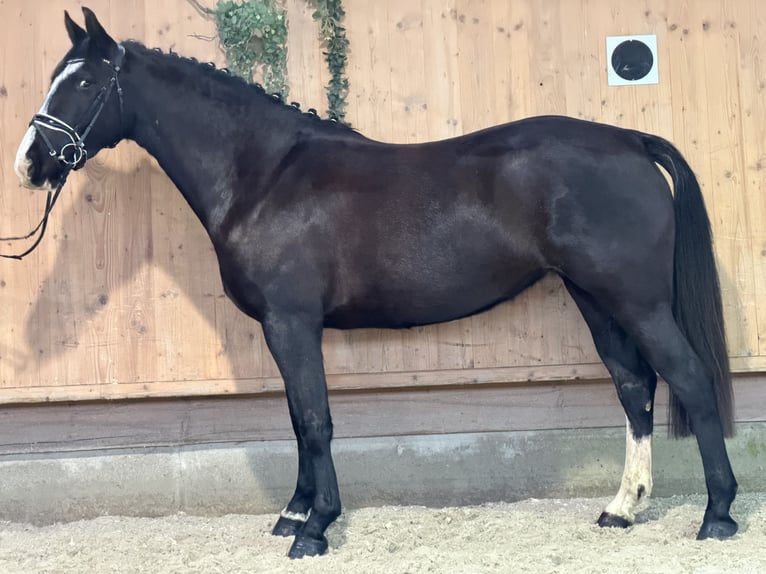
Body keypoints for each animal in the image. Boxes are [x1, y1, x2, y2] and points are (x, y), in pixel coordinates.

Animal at [14, 8, 737, 558]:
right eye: (53, 79)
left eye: (84, 82)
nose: (29, 162)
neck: (263, 175)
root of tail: (630, 140)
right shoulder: (284, 329)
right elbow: (295, 416)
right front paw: (294, 512)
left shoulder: (292, 322)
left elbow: (314, 418)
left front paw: (314, 528)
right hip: (596, 300)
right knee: (634, 389)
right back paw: (622, 509)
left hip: (639, 302)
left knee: (690, 381)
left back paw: (718, 516)